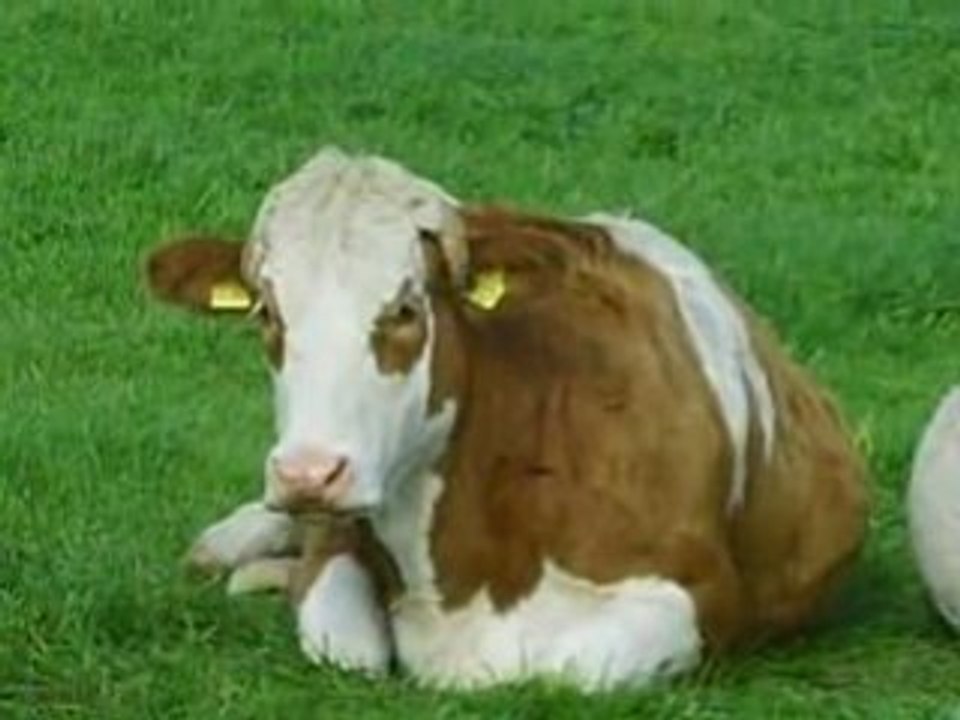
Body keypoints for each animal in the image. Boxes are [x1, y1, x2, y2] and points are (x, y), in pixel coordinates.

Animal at [144, 147, 869, 691]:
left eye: (405, 309)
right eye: (267, 312)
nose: (307, 473)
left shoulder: (700, 593)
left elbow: (570, 666)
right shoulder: (339, 536)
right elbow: (345, 642)